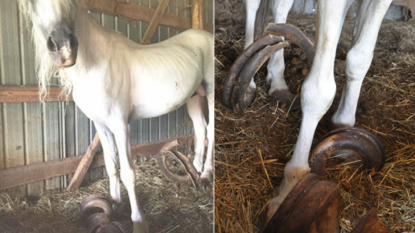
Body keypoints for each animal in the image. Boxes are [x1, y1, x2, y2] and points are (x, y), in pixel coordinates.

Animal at [18, 0, 214, 232]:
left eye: (71, 4)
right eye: (32, 4)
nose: (63, 48)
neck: (95, 65)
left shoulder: (120, 125)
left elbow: (127, 172)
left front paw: (138, 221)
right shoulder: (101, 125)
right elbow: (111, 166)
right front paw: (115, 205)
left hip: (210, 94)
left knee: (211, 132)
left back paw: (206, 174)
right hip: (193, 96)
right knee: (201, 130)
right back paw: (196, 170)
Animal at [244, 0, 394, 227]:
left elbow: (358, 59)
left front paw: (343, 130)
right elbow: (319, 91)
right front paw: (293, 184)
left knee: (280, 8)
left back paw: (278, 81)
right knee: (255, 6)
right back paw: (249, 77)